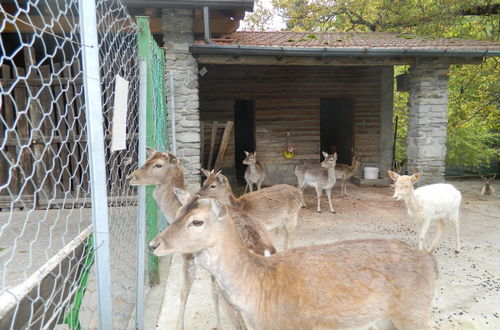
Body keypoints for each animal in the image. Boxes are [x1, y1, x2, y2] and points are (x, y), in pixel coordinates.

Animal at [127, 150, 276, 330]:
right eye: (148, 158)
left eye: (158, 164)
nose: (130, 177)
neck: (175, 210)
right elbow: (213, 294)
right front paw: (218, 324)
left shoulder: (188, 256)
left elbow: (184, 291)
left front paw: (179, 325)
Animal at [151, 192, 438, 330]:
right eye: (177, 211)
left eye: (197, 221)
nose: (154, 244)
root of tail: (431, 264)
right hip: (386, 320)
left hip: (414, 314)